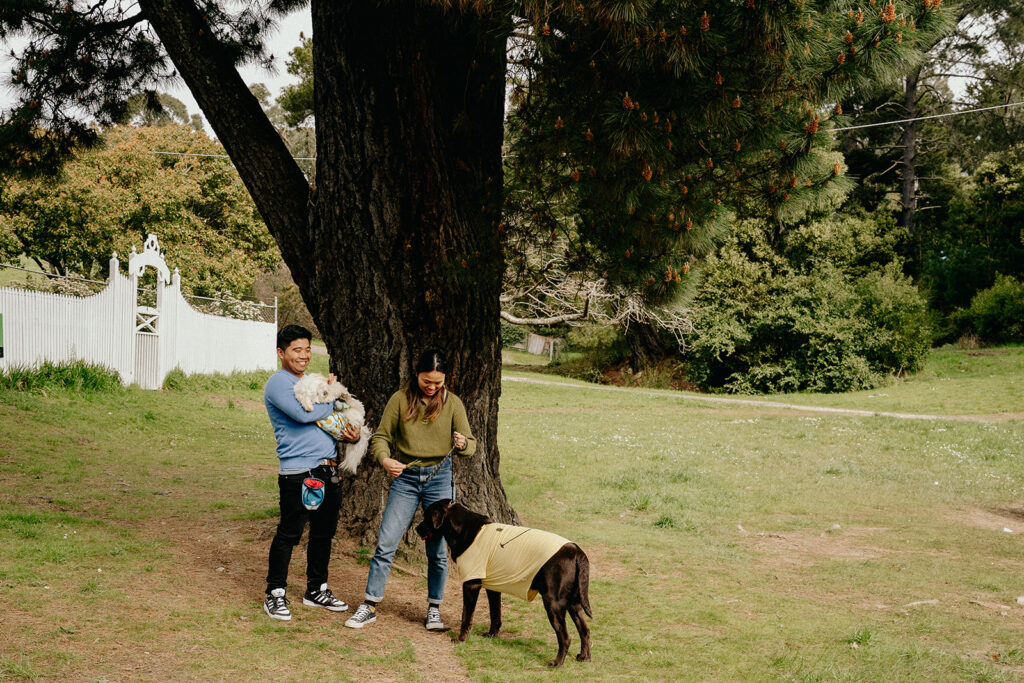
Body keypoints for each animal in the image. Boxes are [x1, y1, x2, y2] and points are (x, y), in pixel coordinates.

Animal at [415, 499, 593, 663]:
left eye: (426, 516)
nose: (417, 528)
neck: (464, 528)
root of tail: (577, 551)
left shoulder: (471, 584)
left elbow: (466, 616)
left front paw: (461, 639)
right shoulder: (492, 588)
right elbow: (495, 615)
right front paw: (492, 635)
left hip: (553, 602)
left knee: (565, 636)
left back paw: (557, 663)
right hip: (574, 603)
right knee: (585, 629)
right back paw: (584, 657)